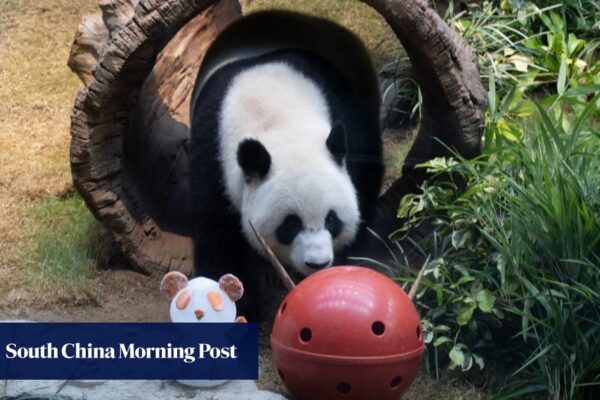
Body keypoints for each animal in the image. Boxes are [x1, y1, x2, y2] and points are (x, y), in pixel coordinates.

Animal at [189, 10, 384, 320]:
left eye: (332, 220)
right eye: (290, 225)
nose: (317, 263)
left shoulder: (343, 116)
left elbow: (363, 180)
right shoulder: (212, 152)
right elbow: (218, 235)